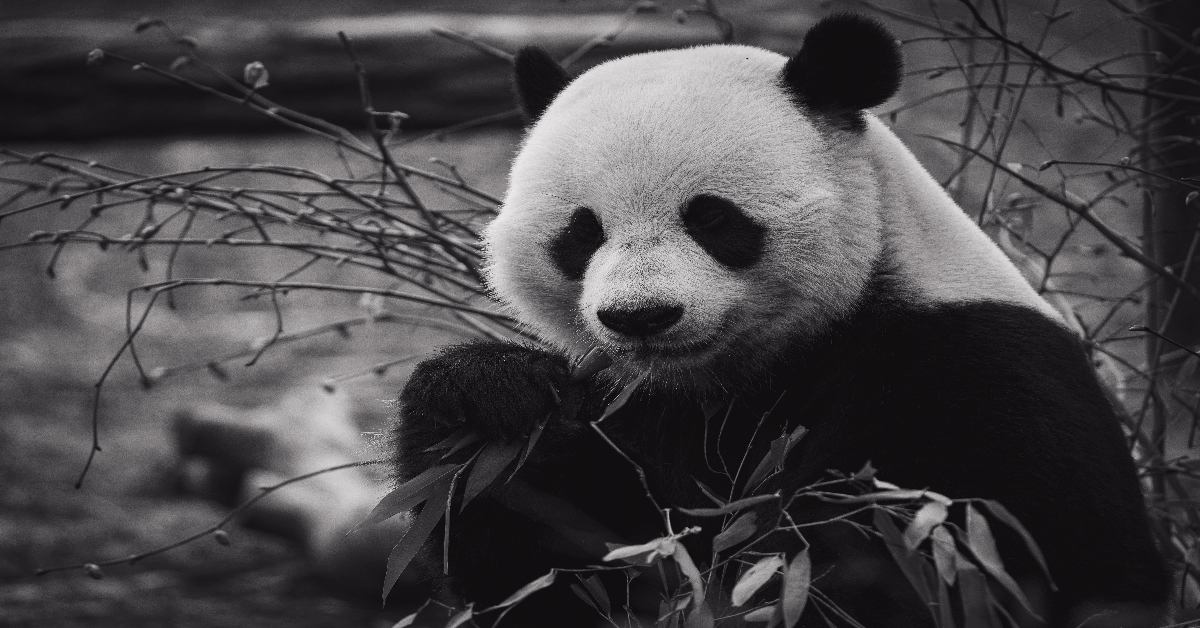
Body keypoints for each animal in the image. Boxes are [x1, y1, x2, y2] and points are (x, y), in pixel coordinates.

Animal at [391, 12, 1161, 624]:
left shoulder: (971, 376)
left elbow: (952, 562)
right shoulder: (639, 408)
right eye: (582, 233)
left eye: (711, 218)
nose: (641, 317)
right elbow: (556, 566)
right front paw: (490, 395)